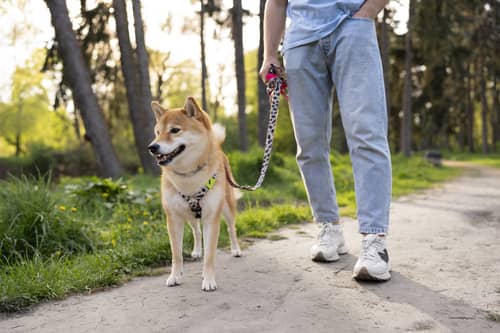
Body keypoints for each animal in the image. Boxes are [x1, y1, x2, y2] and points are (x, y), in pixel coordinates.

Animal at [147, 96, 241, 290]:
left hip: (227, 207)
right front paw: (175, 276)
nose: (152, 147)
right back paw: (197, 251)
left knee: (231, 229)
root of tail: (219, 148)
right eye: (157, 132)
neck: (188, 177)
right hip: (189, 215)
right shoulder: (173, 218)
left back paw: (236, 249)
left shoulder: (211, 218)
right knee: (196, 232)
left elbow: (210, 255)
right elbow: (176, 254)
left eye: (175, 130)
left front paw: (209, 279)